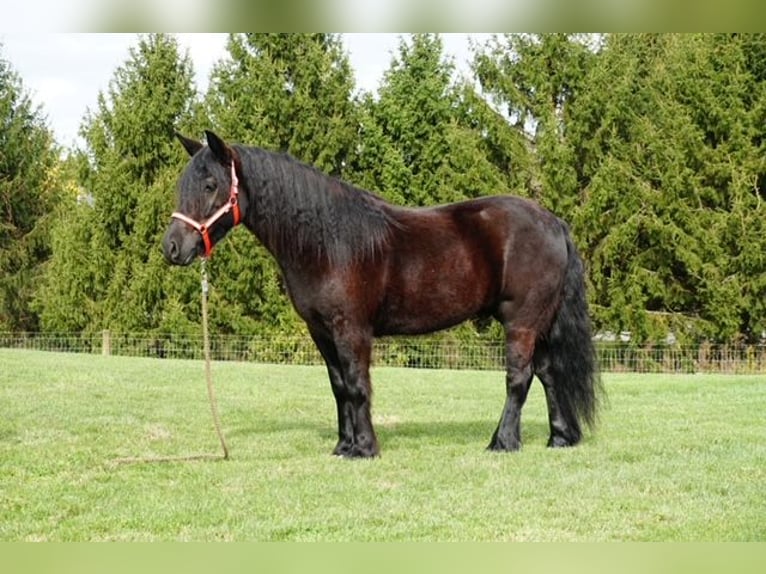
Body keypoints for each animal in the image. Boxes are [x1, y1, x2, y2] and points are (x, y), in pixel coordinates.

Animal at [162, 130, 601, 458]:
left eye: (210, 185)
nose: (172, 247)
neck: (327, 242)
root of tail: (554, 222)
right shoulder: (321, 331)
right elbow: (339, 386)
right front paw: (344, 446)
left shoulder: (351, 328)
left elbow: (358, 384)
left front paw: (365, 448)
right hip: (540, 322)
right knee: (549, 373)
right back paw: (560, 437)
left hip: (521, 321)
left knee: (519, 377)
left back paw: (503, 442)